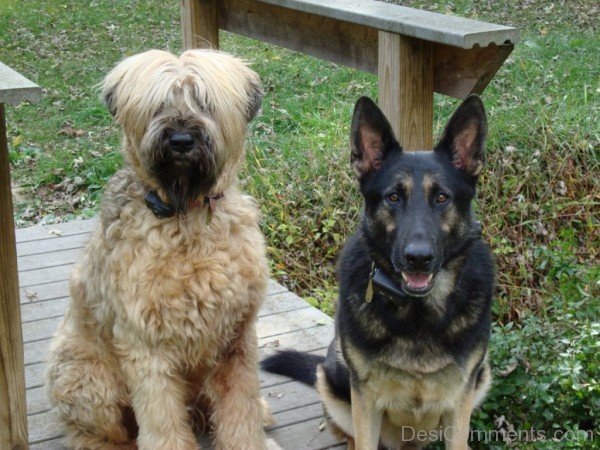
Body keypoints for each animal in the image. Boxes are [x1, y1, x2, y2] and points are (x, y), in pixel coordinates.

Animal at [46, 49, 270, 450]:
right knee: (98, 434)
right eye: (157, 105)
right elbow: (163, 422)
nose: (180, 141)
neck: (187, 217)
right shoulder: (147, 347)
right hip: (87, 381)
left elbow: (240, 411)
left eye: (203, 101)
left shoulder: (236, 340)